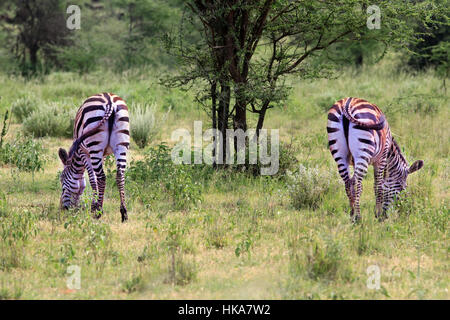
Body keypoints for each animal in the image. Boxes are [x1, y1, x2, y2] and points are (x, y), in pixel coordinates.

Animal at [57, 92, 129, 222]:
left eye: (62, 183)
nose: (63, 208)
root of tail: (109, 101)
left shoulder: (83, 152)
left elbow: (92, 179)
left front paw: (93, 207)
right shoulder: (103, 154)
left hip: (94, 145)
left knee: (101, 177)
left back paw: (98, 212)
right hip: (121, 145)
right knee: (120, 175)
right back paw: (124, 213)